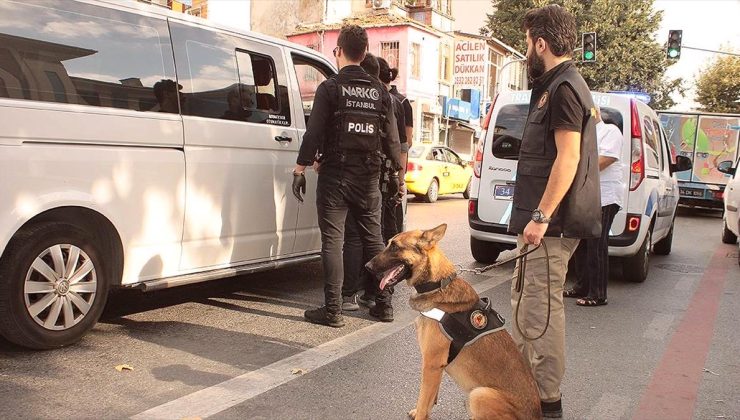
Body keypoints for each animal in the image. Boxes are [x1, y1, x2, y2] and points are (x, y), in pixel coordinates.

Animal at [368, 225, 540, 418]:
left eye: (395, 246)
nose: (367, 267)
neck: (436, 284)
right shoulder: (436, 368)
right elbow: (428, 402)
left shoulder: (431, 365)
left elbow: (423, 401)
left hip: (478, 395)